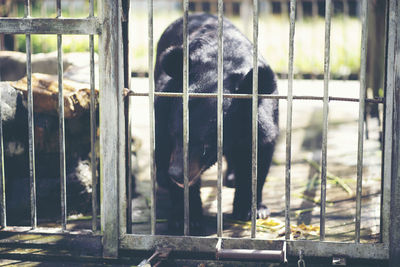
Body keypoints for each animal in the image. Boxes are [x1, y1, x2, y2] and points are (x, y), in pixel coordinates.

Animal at [155, 13, 280, 234]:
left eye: (206, 146)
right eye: (175, 135)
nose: (177, 174)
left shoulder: (263, 119)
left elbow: (258, 156)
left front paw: (252, 211)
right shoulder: (163, 110)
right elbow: (164, 145)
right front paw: (185, 219)